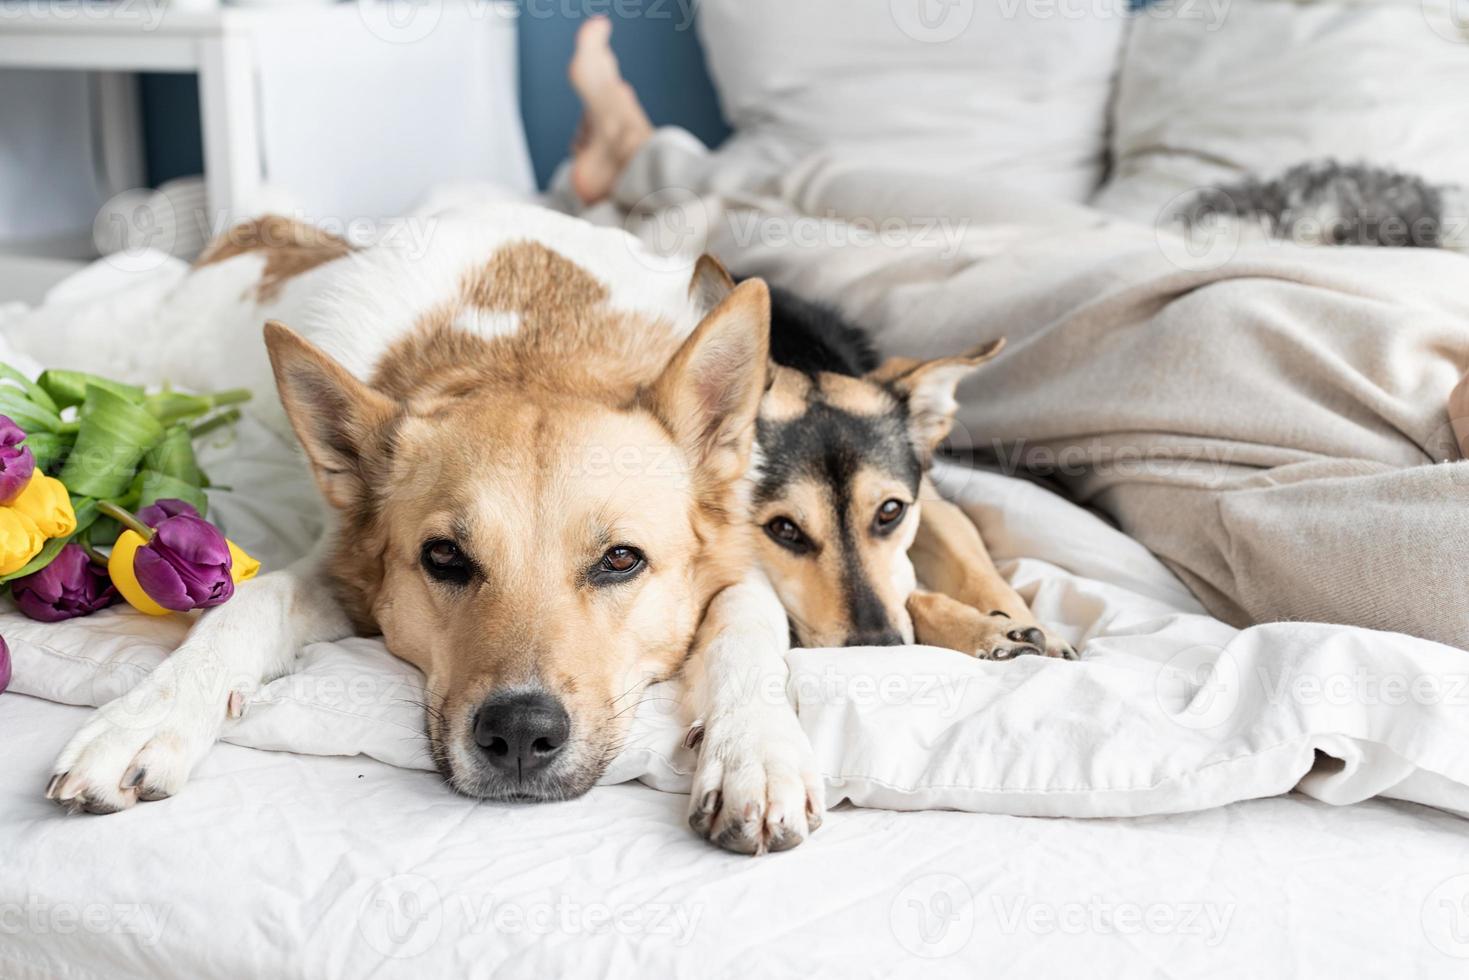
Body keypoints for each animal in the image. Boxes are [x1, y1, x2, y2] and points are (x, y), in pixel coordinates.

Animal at [45, 211, 822, 852]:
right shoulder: (338, 568)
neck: (529, 350)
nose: (519, 734)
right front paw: (146, 716)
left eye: (621, 560)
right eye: (444, 556)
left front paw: (755, 754)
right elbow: (248, 606)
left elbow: (746, 631)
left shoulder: (742, 564)